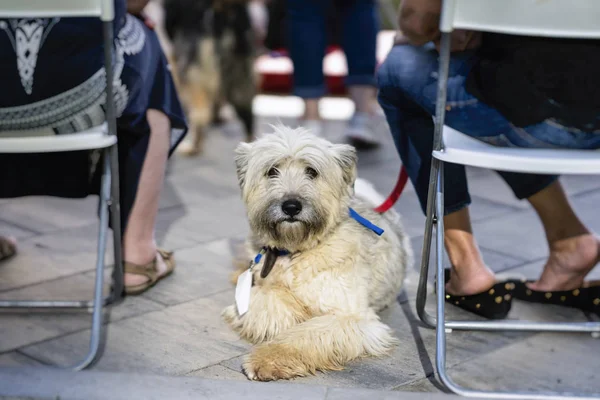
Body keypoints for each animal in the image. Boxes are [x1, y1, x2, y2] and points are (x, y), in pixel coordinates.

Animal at [220, 125, 412, 382]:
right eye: (272, 171)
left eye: (312, 171)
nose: (291, 207)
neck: (297, 250)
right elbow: (269, 302)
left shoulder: (352, 317)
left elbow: (305, 334)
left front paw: (267, 359)